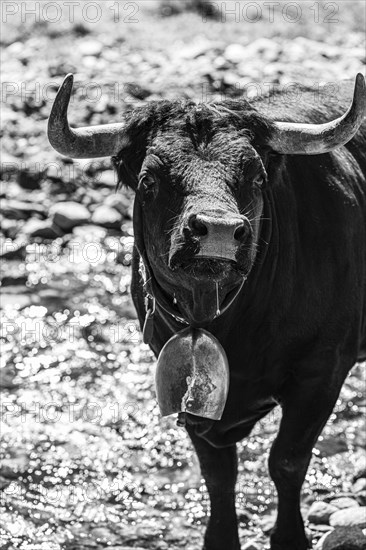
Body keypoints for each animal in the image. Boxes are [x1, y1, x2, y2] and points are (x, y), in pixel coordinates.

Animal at [49, 74, 366, 550]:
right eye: (149, 178)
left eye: (256, 176)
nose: (217, 231)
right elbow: (218, 475)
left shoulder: (323, 370)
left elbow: (287, 461)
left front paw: (290, 536)